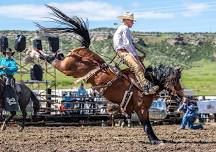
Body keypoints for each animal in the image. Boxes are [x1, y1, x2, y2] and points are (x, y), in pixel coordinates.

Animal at [35, 5, 184, 144]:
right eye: (175, 79)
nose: (182, 94)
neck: (148, 81)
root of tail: (83, 49)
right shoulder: (141, 108)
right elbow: (147, 125)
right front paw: (155, 141)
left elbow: (146, 125)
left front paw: (157, 139)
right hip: (67, 68)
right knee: (54, 61)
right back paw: (39, 52)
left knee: (57, 58)